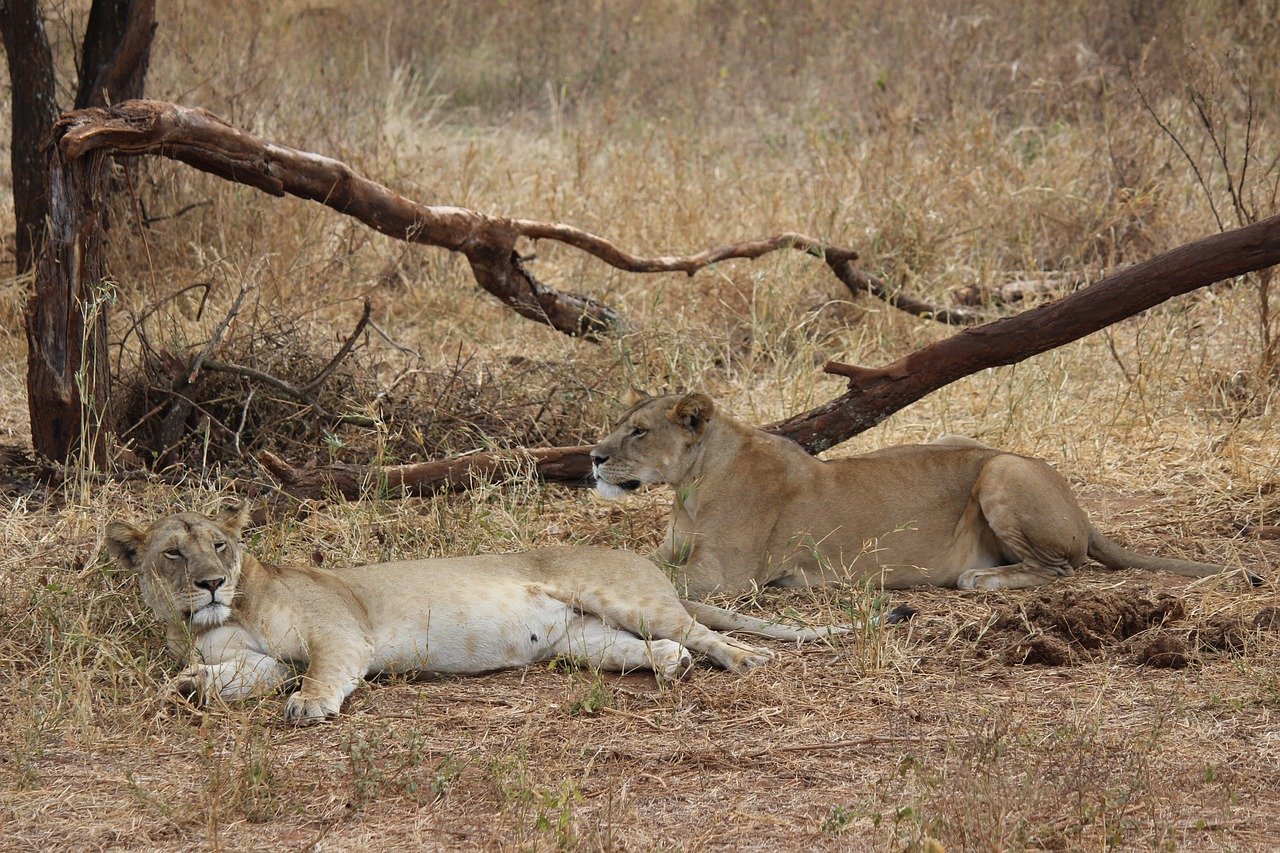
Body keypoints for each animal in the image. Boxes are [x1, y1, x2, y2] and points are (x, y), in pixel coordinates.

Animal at [105, 503, 848, 724]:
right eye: (172, 553)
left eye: (220, 544)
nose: (210, 582)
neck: (219, 619)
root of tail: (645, 562)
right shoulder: (258, 662)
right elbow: (234, 679)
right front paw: (185, 686)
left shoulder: (340, 631)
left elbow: (322, 671)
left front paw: (310, 705)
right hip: (582, 639)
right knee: (655, 647)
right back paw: (674, 668)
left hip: (628, 598)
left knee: (699, 629)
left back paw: (746, 657)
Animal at [590, 392, 1258, 597]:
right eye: (620, 425)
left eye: (638, 431)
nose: (594, 457)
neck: (689, 488)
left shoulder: (723, 577)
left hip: (1002, 470)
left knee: (1063, 568)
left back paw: (980, 579)